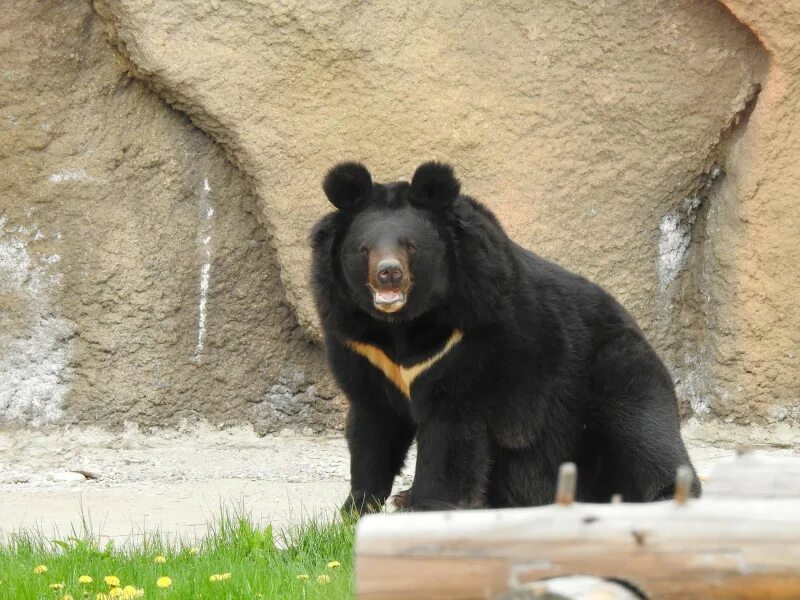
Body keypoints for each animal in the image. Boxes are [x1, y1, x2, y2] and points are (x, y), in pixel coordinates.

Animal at [310, 162, 696, 512]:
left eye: (411, 246)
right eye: (364, 249)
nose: (388, 274)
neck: (402, 324)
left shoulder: (470, 337)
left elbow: (451, 431)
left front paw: (427, 506)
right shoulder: (360, 344)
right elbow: (373, 424)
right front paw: (357, 508)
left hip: (615, 370)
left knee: (643, 434)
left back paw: (663, 497)